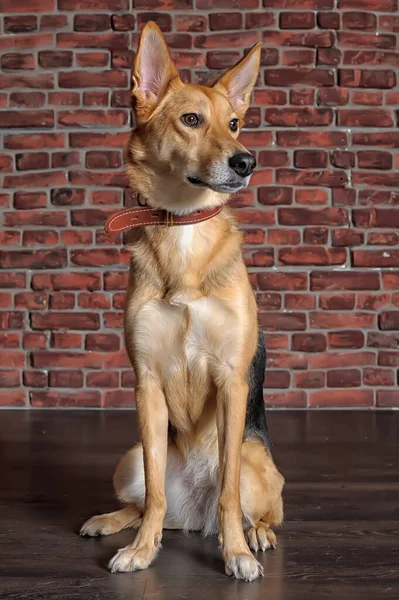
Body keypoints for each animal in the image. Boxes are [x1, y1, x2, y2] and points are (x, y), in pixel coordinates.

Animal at [81, 22, 286, 580]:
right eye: (191, 120)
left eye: (234, 123)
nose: (246, 161)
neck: (183, 228)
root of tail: (193, 516)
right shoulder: (147, 384)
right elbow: (154, 494)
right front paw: (141, 550)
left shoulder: (233, 381)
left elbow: (229, 492)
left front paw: (237, 554)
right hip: (129, 457)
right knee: (148, 501)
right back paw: (111, 521)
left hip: (259, 462)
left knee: (250, 506)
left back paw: (255, 535)